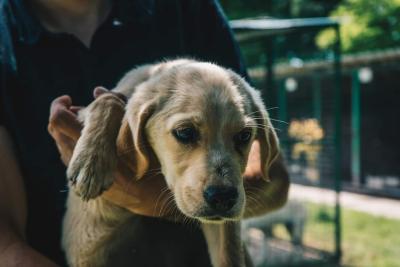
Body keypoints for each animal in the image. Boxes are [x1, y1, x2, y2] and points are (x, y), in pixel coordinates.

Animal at [63, 59, 282, 267]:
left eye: (244, 136)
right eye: (185, 132)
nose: (223, 197)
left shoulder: (223, 225)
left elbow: (229, 257)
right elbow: (109, 99)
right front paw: (91, 162)